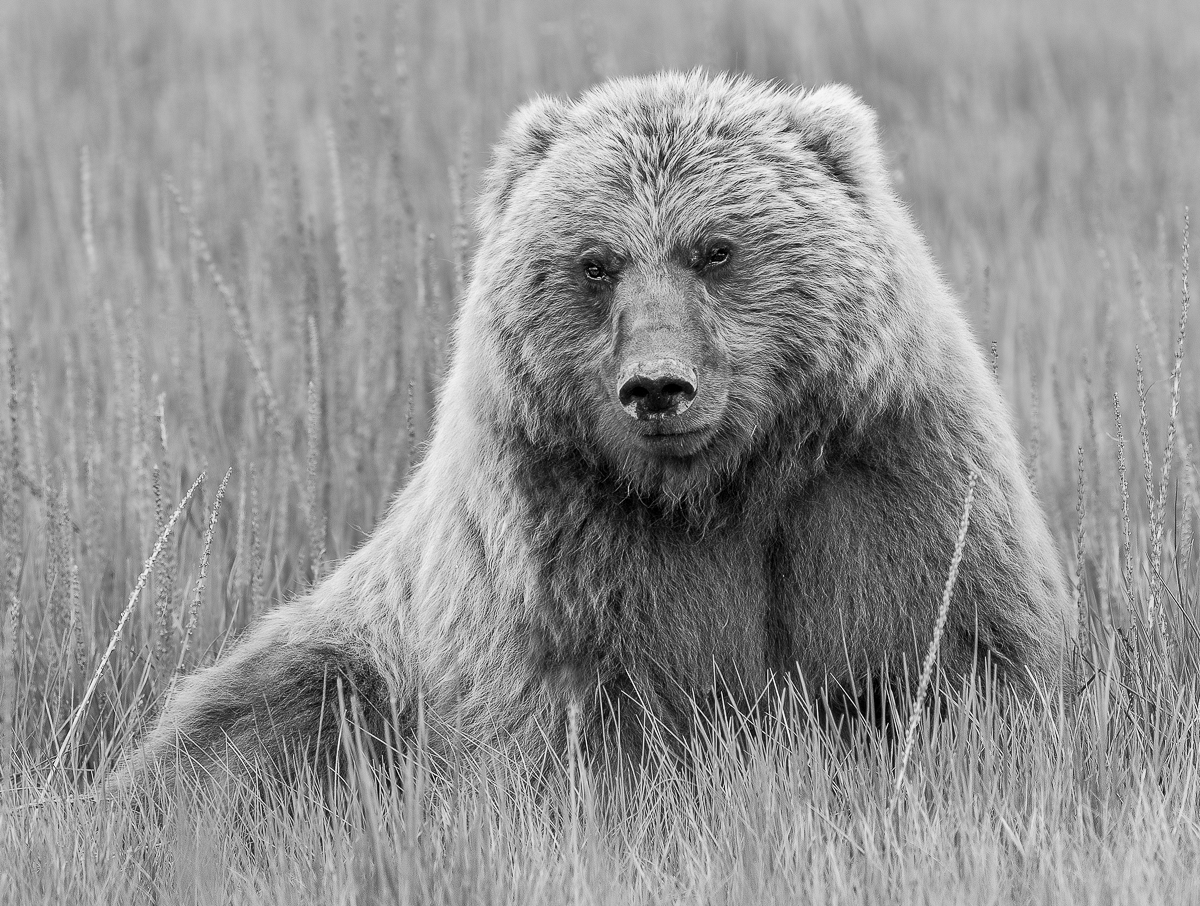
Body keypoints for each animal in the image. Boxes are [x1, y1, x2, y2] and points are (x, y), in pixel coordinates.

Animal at [116, 71, 1074, 790]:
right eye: (596, 261)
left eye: (714, 248)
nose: (657, 387)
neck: (725, 485)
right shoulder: (564, 537)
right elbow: (586, 718)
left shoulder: (884, 486)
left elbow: (950, 656)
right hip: (353, 656)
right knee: (259, 725)